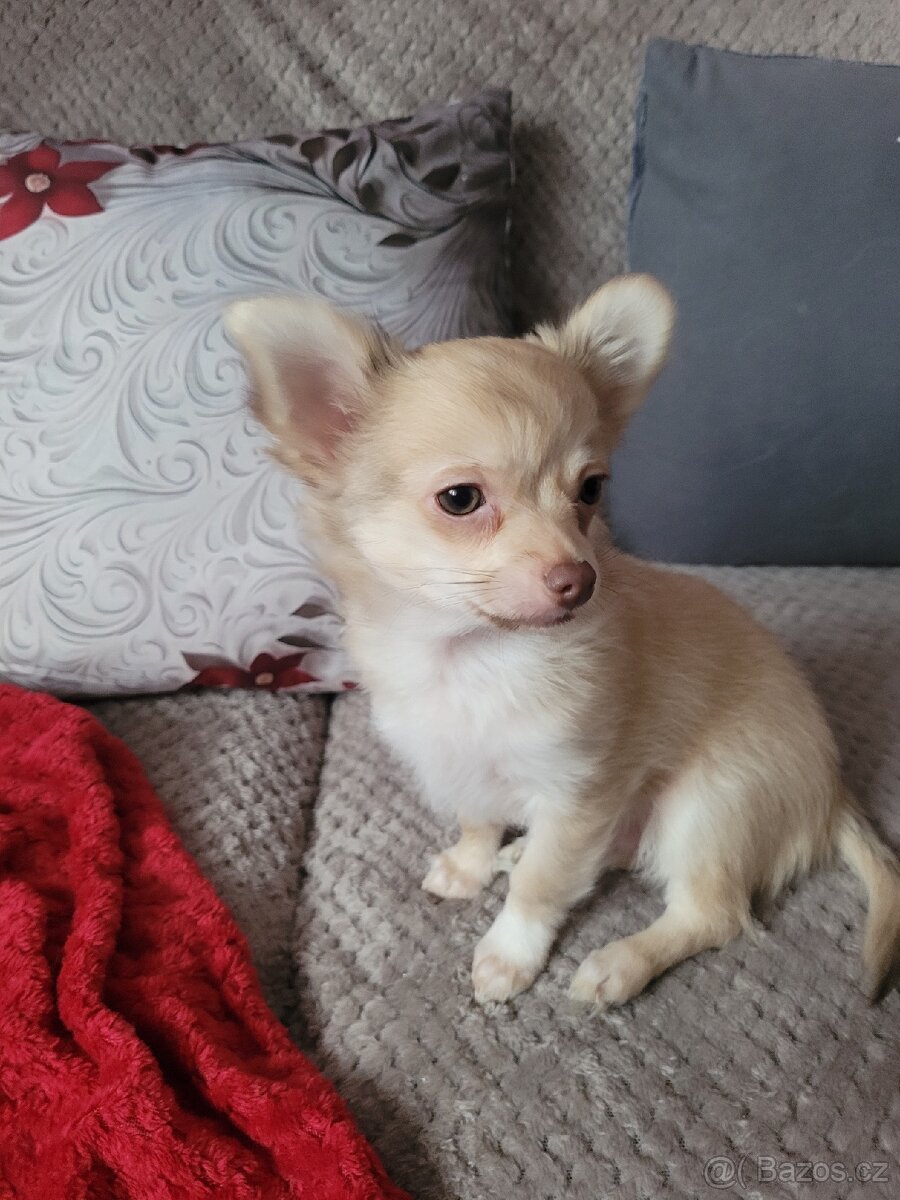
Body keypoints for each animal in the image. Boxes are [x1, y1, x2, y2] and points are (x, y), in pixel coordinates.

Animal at [225, 275, 900, 1007]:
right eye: (460, 499)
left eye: (592, 489)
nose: (580, 578)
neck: (471, 658)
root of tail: (834, 792)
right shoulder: (465, 769)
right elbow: (479, 821)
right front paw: (472, 866)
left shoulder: (579, 789)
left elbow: (541, 886)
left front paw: (509, 955)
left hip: (708, 808)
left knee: (711, 913)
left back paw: (619, 963)